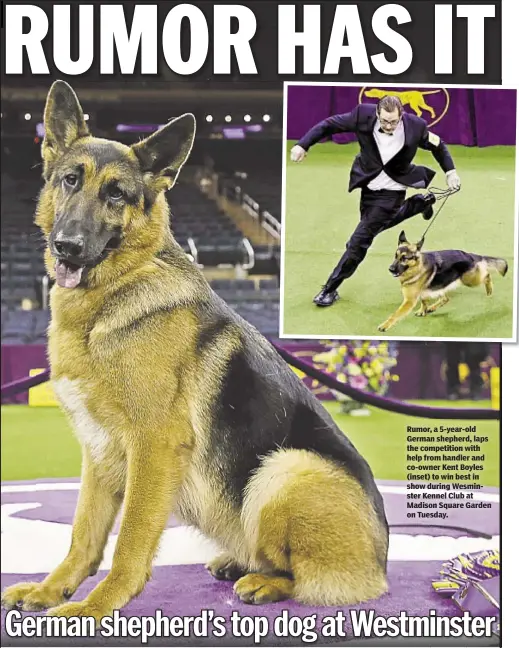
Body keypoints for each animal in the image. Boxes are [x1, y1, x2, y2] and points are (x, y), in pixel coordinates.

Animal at [2, 82, 388, 624]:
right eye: (70, 181)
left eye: (116, 194)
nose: (67, 247)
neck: (115, 294)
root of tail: (382, 559)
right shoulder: (98, 453)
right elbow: (83, 535)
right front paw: (51, 590)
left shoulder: (154, 446)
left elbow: (130, 541)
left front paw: (93, 609)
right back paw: (237, 562)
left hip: (284, 470)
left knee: (306, 576)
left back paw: (264, 582)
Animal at [378, 230, 508, 332]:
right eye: (395, 256)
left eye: (404, 258)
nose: (390, 269)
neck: (416, 267)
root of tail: (469, 255)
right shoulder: (423, 292)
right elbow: (424, 301)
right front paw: (423, 311)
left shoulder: (409, 301)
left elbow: (395, 315)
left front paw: (385, 325)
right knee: (446, 298)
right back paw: (432, 307)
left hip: (469, 280)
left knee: (487, 275)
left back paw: (489, 290)